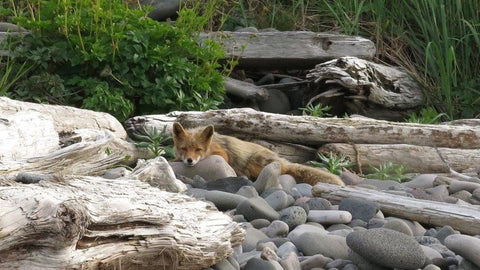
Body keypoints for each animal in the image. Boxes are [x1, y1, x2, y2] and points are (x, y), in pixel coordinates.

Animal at [171, 122, 344, 186]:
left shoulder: (222, 153)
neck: (211, 146)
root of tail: (281, 159)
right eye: (184, 148)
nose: (189, 160)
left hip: (255, 161)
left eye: (198, 150)